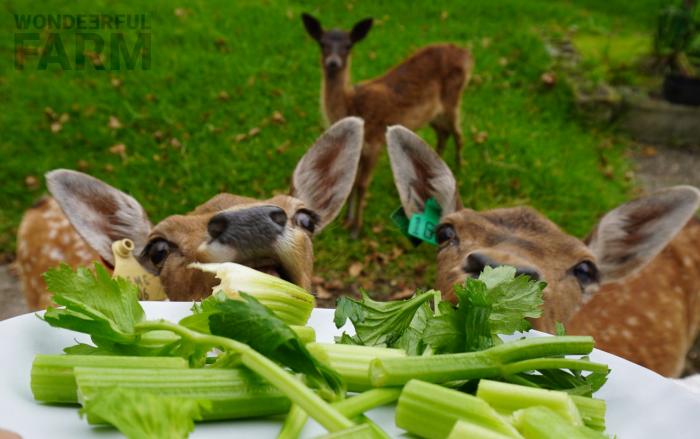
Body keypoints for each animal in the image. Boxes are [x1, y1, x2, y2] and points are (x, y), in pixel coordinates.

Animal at [301, 13, 473, 237]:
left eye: (348, 45)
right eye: (322, 43)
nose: (333, 63)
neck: (354, 106)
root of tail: (466, 54)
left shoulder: (374, 143)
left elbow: (362, 184)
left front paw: (356, 229)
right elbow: (352, 183)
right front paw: (347, 221)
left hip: (453, 98)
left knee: (458, 133)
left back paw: (459, 168)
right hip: (433, 113)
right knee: (443, 133)